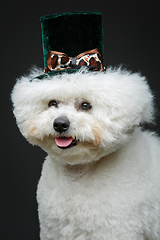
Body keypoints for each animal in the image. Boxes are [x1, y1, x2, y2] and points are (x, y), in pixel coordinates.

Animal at [11, 67, 160, 240]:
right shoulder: (53, 230)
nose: (60, 123)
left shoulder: (116, 229)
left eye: (85, 105)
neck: (77, 174)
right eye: (52, 103)